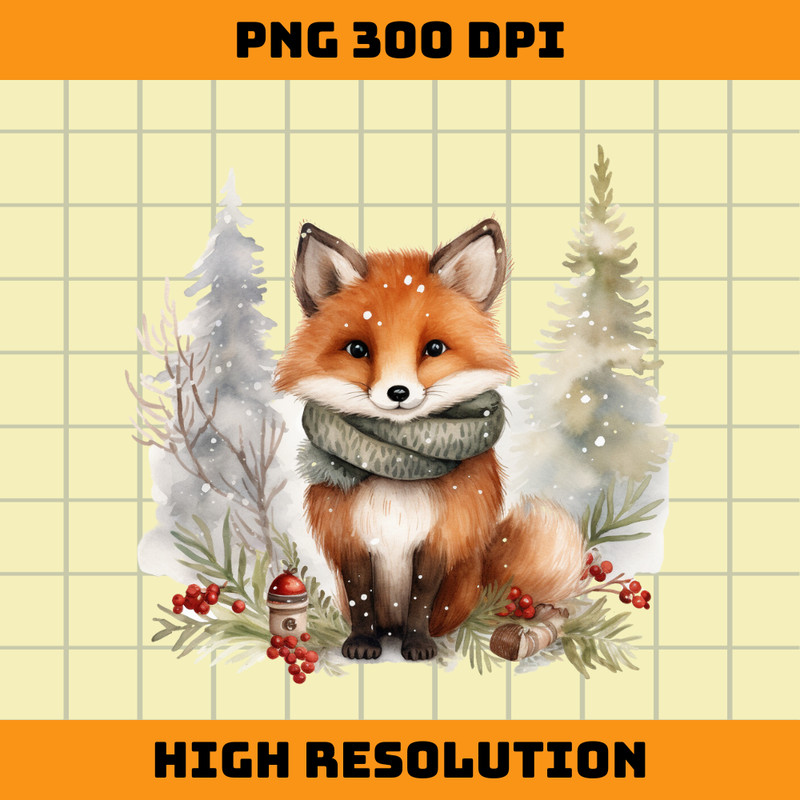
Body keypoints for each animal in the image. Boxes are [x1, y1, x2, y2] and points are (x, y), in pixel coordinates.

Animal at [274, 219, 585, 661]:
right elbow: (360, 597)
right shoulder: (350, 539)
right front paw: (361, 643)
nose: (398, 392)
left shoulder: (440, 538)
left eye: (434, 348)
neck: (398, 469)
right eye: (357, 349)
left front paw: (418, 644)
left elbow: (421, 599)